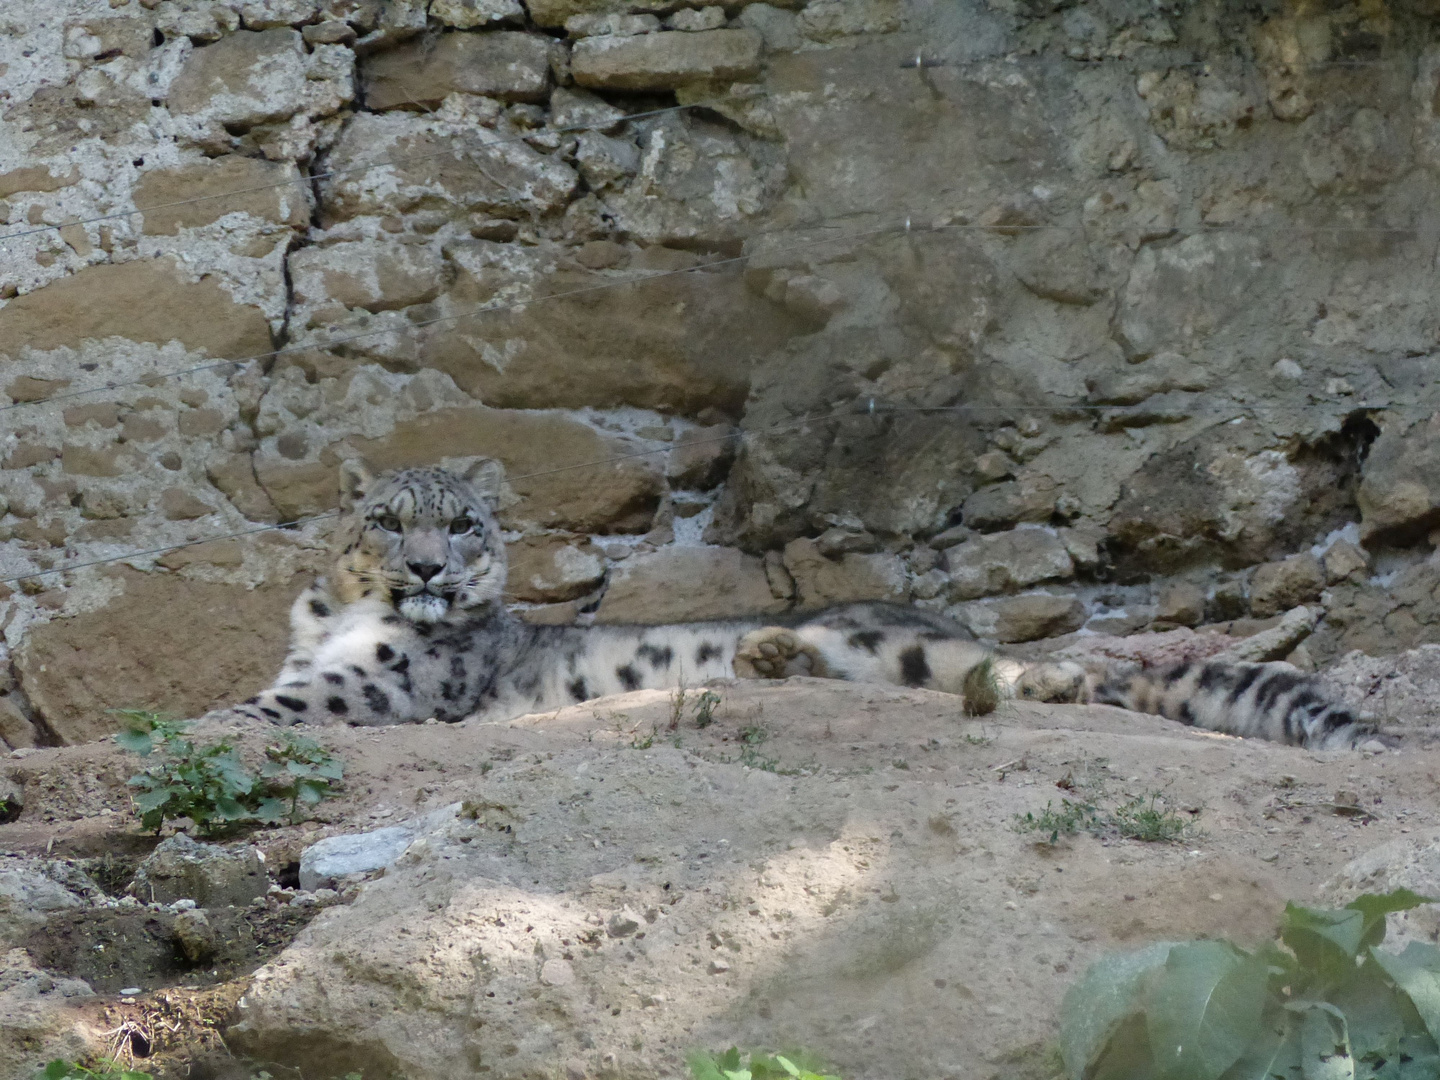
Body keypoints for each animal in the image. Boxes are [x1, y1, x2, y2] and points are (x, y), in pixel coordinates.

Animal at [221, 457, 1382, 754]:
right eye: (387, 519)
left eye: (463, 524)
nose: (426, 571)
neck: (331, 622)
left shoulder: (381, 681)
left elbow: (273, 708)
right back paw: (769, 662)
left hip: (896, 638)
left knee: (1065, 673)